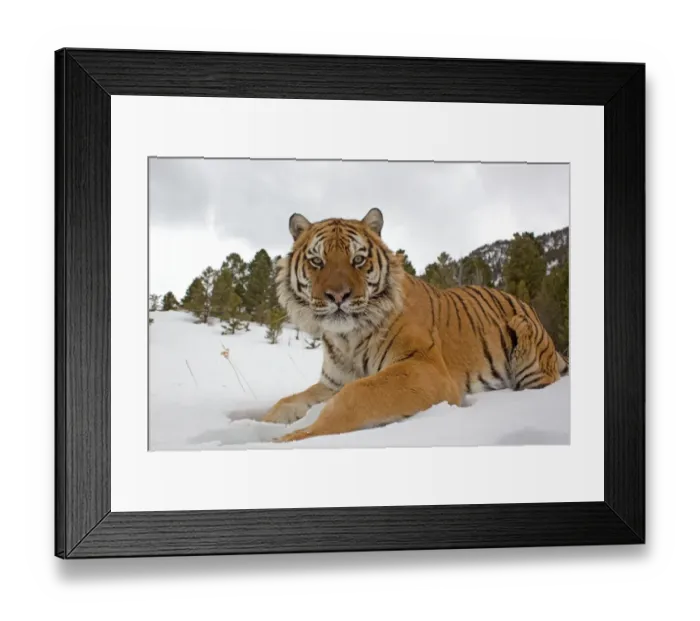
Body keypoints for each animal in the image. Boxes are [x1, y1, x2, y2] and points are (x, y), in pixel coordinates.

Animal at [264, 207, 569, 443]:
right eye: (317, 261)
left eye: (358, 260)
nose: (338, 296)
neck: (346, 338)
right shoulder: (332, 382)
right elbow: (286, 402)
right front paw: (262, 424)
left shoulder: (423, 367)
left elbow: (355, 395)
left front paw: (288, 439)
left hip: (528, 354)